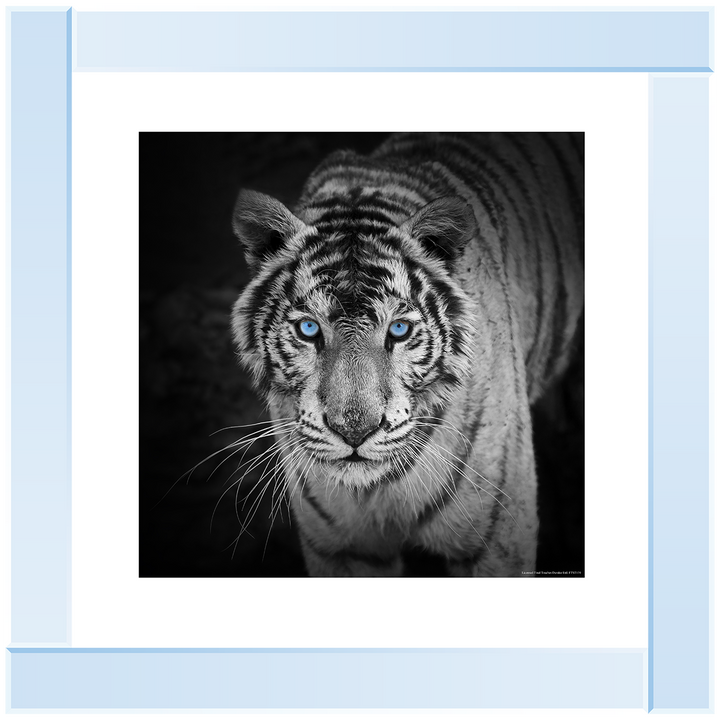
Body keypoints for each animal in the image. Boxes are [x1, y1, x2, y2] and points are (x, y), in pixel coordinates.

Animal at [230, 132, 584, 577]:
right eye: (309, 329)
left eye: (398, 330)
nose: (354, 432)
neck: (376, 491)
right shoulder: (342, 548)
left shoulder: (495, 540)